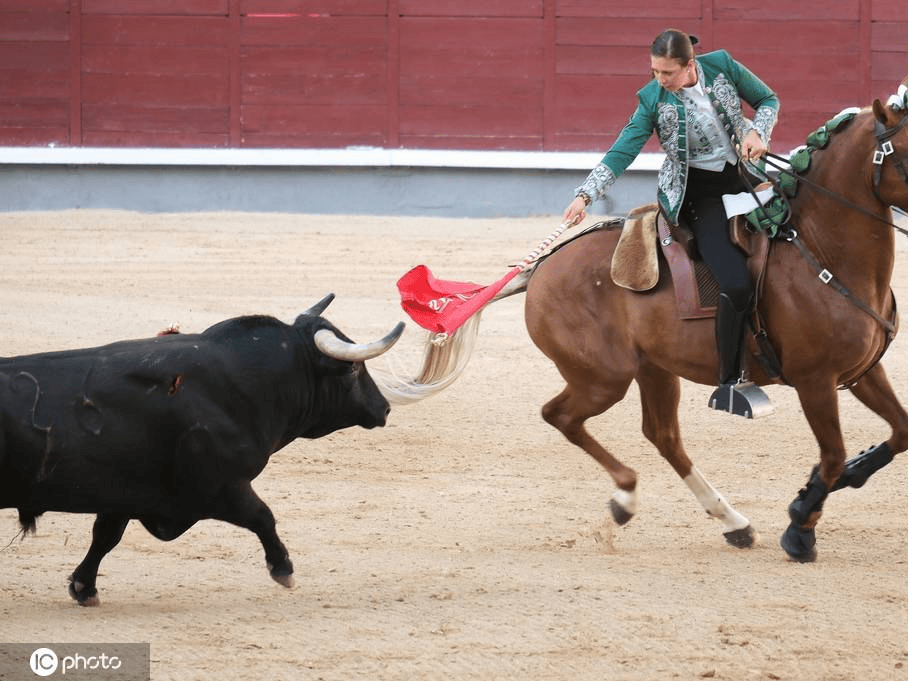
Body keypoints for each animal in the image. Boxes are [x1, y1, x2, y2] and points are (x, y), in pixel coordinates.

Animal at [0, 294, 404, 604]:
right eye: (351, 370)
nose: (384, 408)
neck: (246, 380)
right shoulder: (222, 487)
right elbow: (262, 516)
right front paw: (283, 568)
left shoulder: (124, 493)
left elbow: (106, 536)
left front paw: (84, 587)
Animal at [516, 81, 908, 556]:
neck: (820, 247)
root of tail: (544, 266)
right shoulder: (815, 380)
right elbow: (831, 454)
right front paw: (800, 527)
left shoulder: (863, 371)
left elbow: (901, 432)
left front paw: (836, 481)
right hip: (603, 378)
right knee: (561, 416)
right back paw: (627, 498)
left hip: (654, 370)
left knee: (663, 435)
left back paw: (733, 522)